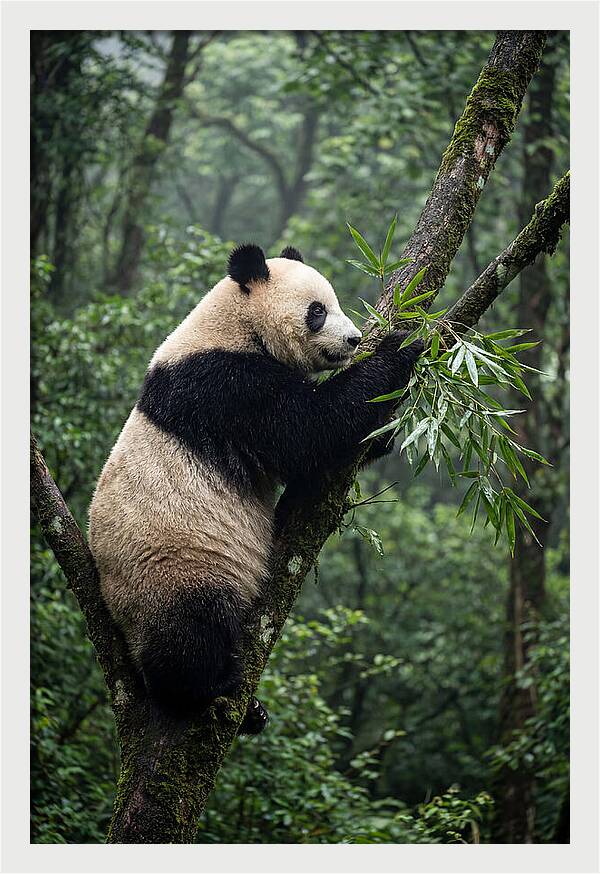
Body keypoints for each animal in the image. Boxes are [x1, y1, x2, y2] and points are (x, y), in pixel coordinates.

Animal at [89, 243, 422, 734]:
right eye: (317, 311)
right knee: (191, 631)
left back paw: (252, 712)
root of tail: (117, 617)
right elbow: (308, 429)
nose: (354, 340)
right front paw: (401, 346)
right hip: (173, 566)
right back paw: (211, 686)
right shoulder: (223, 385)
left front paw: (383, 433)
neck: (234, 325)